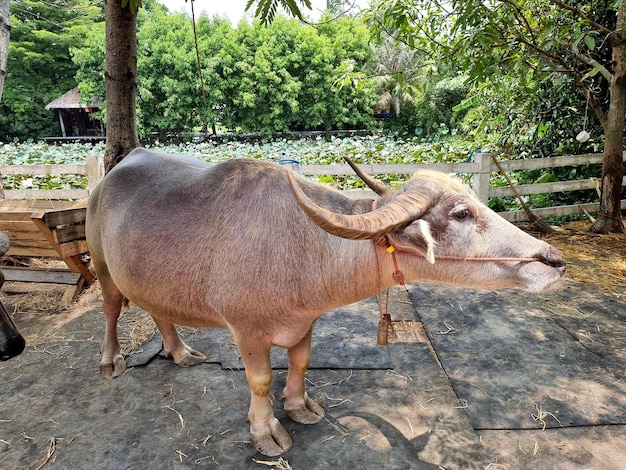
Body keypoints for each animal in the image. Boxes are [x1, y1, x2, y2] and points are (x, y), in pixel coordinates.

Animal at [88, 150, 564, 456]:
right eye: (463, 214)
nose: (553, 260)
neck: (301, 242)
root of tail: (109, 176)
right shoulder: (247, 330)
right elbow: (260, 381)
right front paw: (266, 430)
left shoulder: (306, 320)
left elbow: (301, 361)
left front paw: (299, 407)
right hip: (103, 267)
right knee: (111, 309)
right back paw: (111, 361)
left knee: (157, 309)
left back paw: (180, 351)